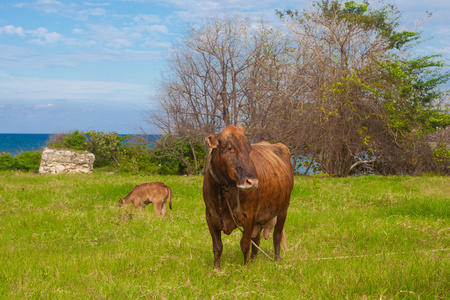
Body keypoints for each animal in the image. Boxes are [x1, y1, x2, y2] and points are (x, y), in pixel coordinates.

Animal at [202, 124, 294, 268]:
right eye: (230, 148)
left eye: (249, 149)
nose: (252, 182)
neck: (223, 194)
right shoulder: (210, 216)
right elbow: (217, 246)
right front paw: (216, 268)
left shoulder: (249, 216)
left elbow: (245, 244)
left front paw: (246, 268)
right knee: (256, 239)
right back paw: (254, 260)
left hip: (283, 210)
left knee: (276, 236)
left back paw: (276, 261)